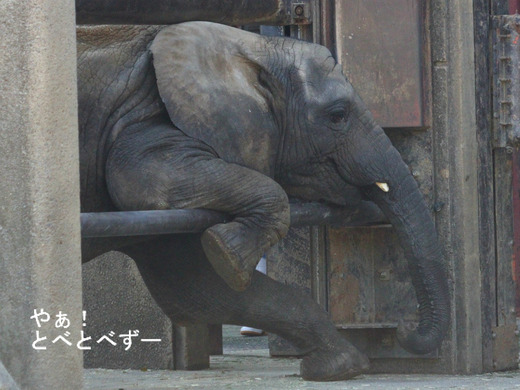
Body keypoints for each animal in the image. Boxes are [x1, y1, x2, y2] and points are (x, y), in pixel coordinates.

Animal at [78, 22, 450, 380]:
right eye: (338, 115)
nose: (404, 327)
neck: (251, 48)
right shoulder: (142, 119)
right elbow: (142, 182)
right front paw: (226, 252)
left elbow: (197, 287)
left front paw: (340, 366)